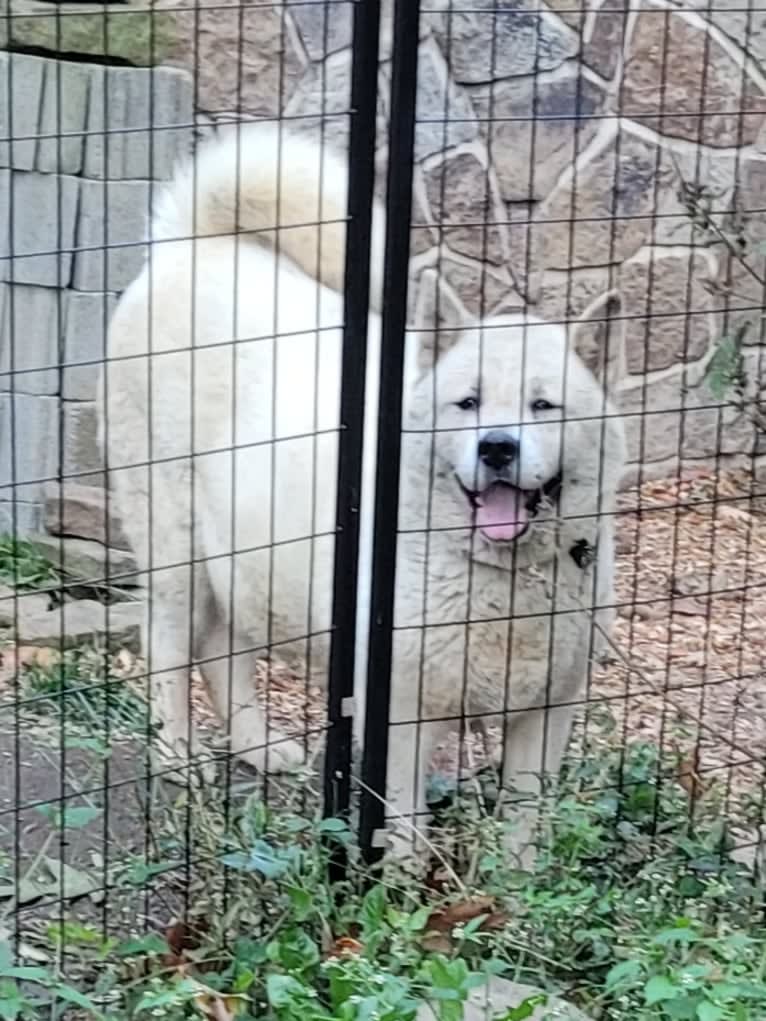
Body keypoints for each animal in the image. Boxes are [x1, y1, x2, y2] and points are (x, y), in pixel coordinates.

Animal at [100, 123, 625, 861]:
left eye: (544, 405)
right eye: (468, 403)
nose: (497, 447)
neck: (498, 577)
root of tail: (194, 244)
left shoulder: (546, 710)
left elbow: (525, 820)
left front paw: (519, 884)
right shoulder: (400, 708)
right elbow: (402, 819)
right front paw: (401, 878)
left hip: (247, 553)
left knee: (223, 644)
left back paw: (258, 744)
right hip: (174, 543)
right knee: (172, 644)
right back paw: (179, 755)